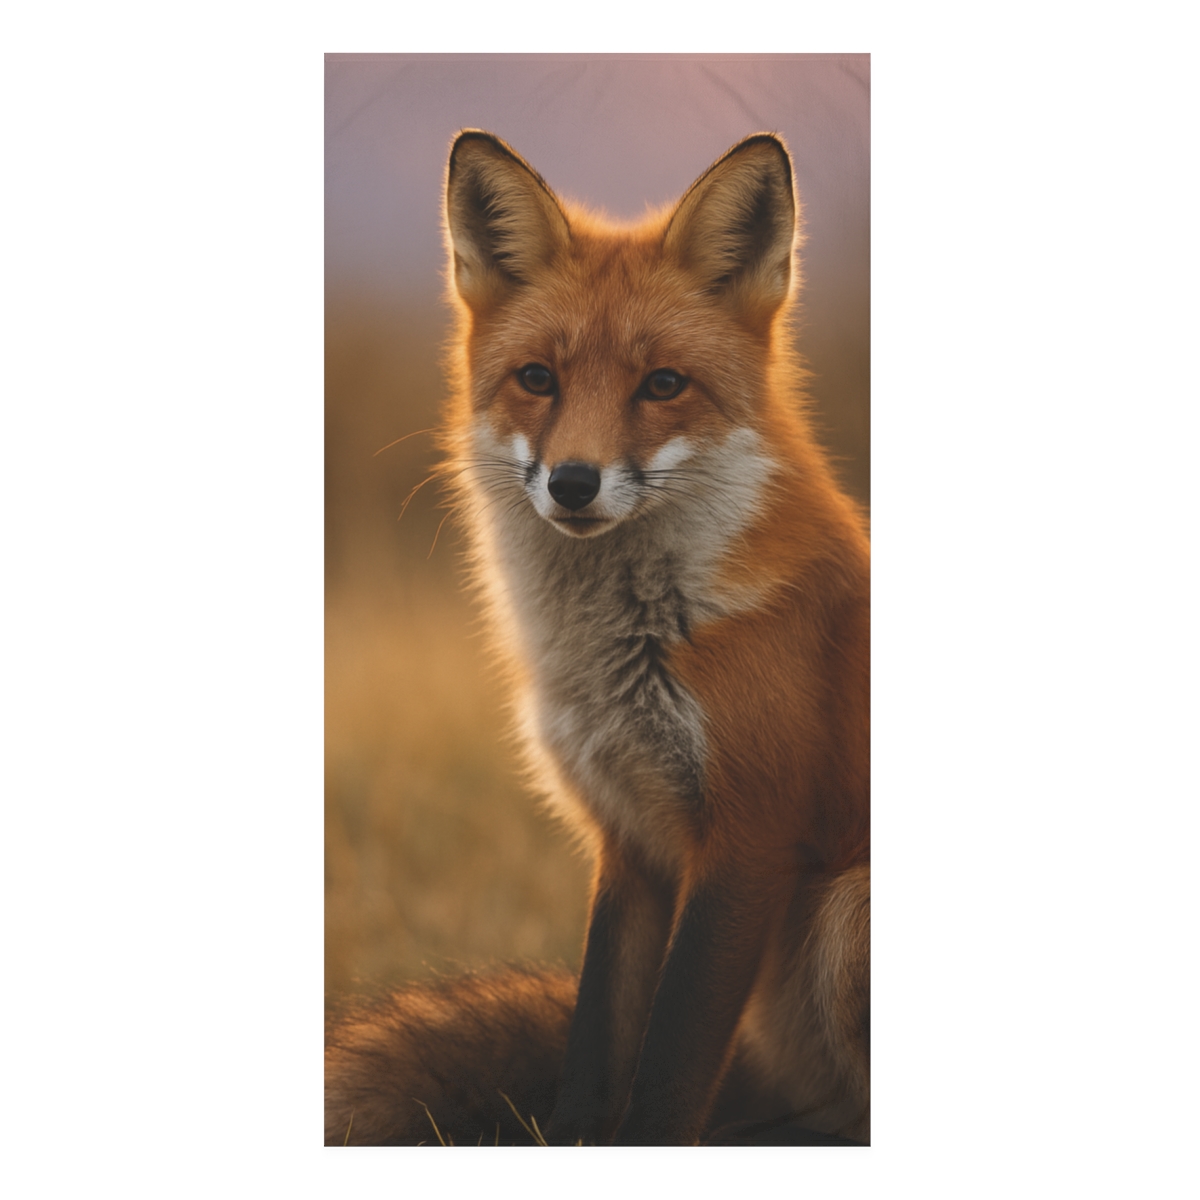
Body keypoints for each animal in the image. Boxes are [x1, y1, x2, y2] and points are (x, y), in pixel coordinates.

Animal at [325, 130, 870, 1147]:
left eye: (663, 385)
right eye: (538, 379)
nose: (573, 482)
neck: (627, 656)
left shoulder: (747, 839)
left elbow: (668, 1068)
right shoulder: (628, 839)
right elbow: (592, 1050)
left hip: (846, 916)